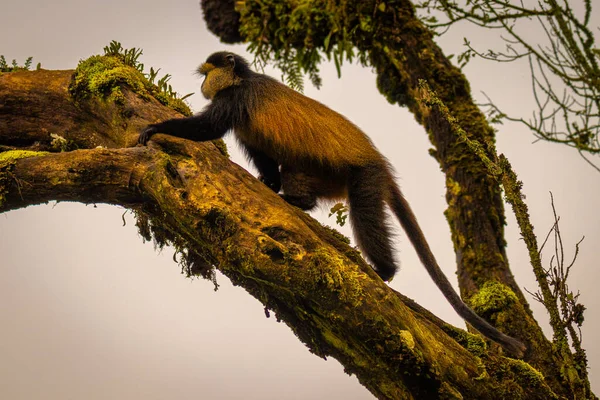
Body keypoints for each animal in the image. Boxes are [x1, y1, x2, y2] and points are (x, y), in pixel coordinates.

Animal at [138, 50, 528, 356]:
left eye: (207, 73)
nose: (205, 83)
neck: (241, 80)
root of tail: (379, 163)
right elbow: (261, 152)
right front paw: (269, 183)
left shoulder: (235, 99)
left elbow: (209, 129)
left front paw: (156, 130)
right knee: (295, 169)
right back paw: (298, 199)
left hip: (364, 177)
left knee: (365, 212)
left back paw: (383, 270)